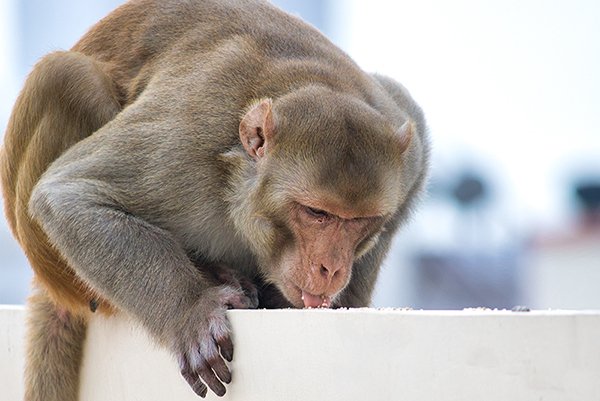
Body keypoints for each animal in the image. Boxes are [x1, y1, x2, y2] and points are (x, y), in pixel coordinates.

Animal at [0, 1, 432, 398]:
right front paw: (191, 310)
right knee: (64, 76)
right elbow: (70, 193)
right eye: (316, 213)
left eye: (359, 222)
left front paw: (347, 299)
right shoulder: (187, 138)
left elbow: (410, 114)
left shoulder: (406, 150)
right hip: (61, 271)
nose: (332, 268)